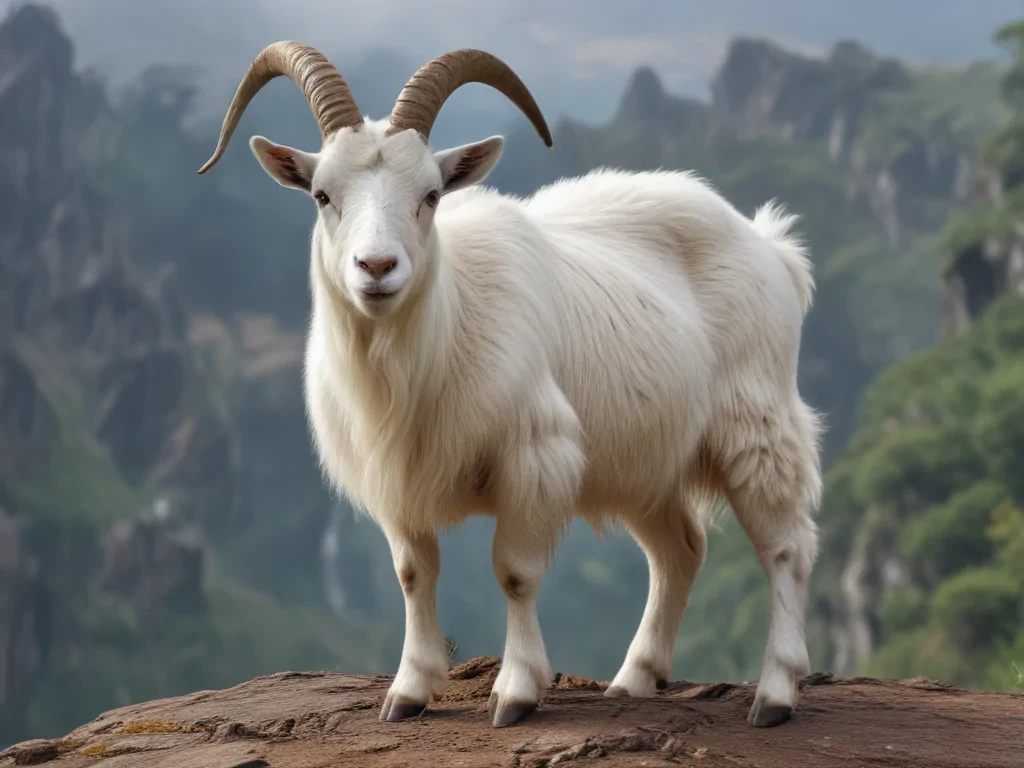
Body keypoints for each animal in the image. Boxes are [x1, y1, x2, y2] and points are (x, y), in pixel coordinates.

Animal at [198, 41, 824, 729]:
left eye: (431, 194)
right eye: (321, 195)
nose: (377, 268)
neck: (445, 328)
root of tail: (771, 246)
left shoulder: (533, 456)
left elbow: (515, 573)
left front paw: (516, 692)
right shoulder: (397, 477)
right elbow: (413, 573)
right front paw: (408, 692)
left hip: (756, 423)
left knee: (787, 547)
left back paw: (775, 693)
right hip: (644, 455)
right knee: (680, 549)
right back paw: (635, 678)